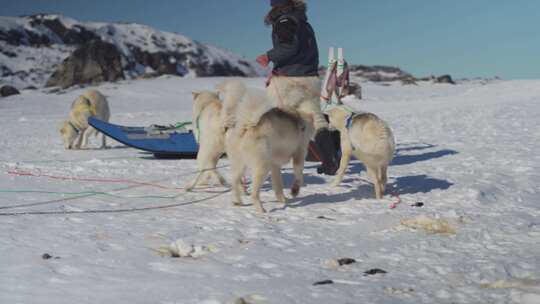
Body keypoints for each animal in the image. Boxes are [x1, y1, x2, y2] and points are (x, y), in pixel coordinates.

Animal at [223, 81, 310, 214]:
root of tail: (248, 128)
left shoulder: (275, 165)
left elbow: (278, 186)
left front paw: (283, 199)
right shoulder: (299, 153)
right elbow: (299, 175)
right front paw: (294, 191)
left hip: (241, 165)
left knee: (235, 182)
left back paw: (237, 201)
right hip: (262, 167)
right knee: (254, 193)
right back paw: (260, 209)